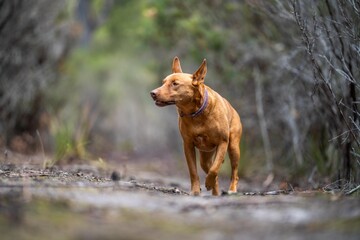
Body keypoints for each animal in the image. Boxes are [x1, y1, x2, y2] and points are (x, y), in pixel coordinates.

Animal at [149, 57, 242, 196]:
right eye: (163, 82)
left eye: (175, 84)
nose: (152, 93)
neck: (196, 114)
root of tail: (233, 109)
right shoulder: (188, 145)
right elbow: (193, 171)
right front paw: (195, 191)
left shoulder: (223, 142)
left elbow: (215, 169)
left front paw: (208, 183)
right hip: (205, 157)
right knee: (211, 171)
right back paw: (215, 192)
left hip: (233, 147)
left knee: (234, 173)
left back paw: (231, 190)